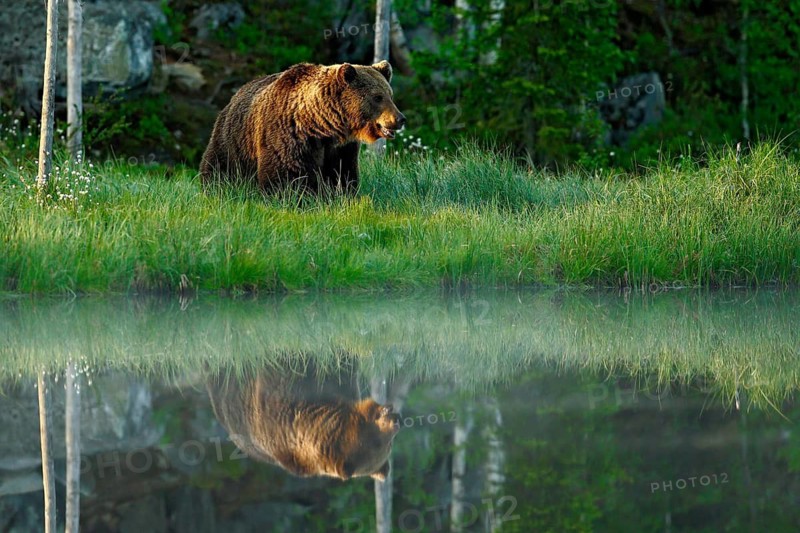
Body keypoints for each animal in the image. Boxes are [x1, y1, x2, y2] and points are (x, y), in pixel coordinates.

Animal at [199, 61, 406, 193]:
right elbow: (286, 176)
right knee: (219, 167)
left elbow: (342, 174)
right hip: (234, 141)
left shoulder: (340, 149)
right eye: (377, 97)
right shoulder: (289, 137)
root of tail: (235, 96)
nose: (400, 119)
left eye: (390, 95)